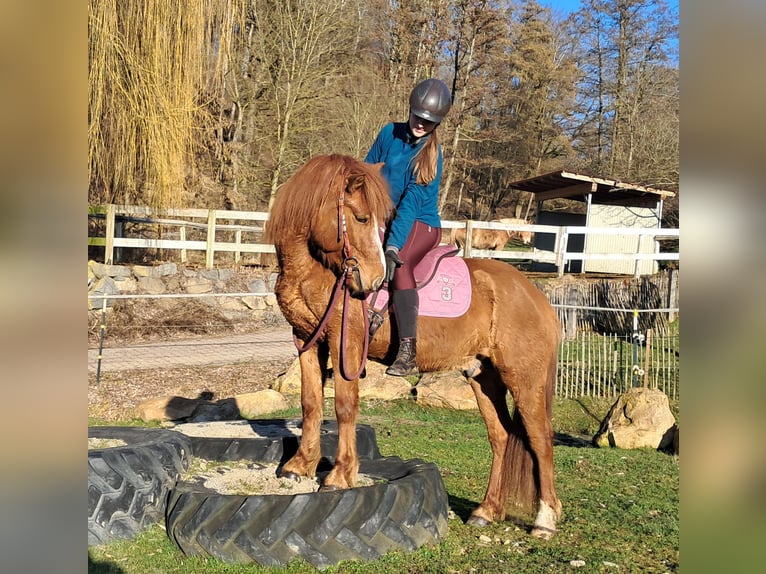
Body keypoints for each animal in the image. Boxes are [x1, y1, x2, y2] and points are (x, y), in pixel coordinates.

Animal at [264, 154, 562, 539]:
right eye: (362, 218)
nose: (374, 279)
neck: (319, 271)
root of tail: (536, 297)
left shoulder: (346, 344)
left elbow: (344, 406)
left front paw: (340, 475)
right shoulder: (306, 342)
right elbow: (311, 402)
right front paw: (300, 465)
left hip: (525, 379)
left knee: (540, 439)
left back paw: (545, 521)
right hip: (485, 378)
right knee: (501, 437)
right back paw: (487, 510)